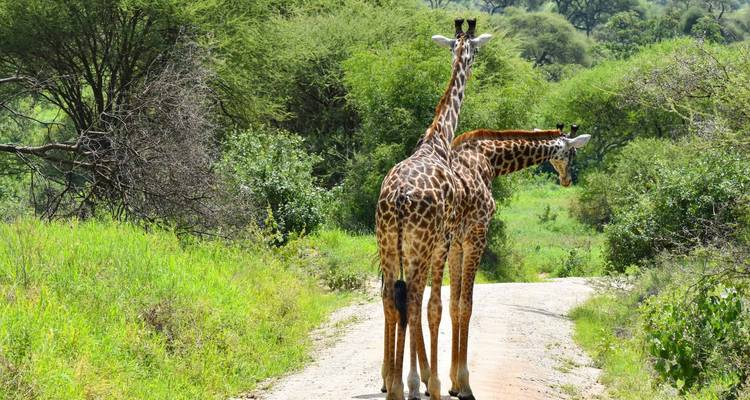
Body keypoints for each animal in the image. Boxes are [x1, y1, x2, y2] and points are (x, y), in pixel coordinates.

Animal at [376, 18, 492, 400]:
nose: (472, 62)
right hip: (421, 243)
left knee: (391, 298)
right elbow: (436, 306)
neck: (438, 139)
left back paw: (396, 385)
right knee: (412, 300)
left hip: (388, 243)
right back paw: (414, 385)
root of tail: (397, 198)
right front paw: (435, 382)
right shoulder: (445, 240)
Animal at [443, 124, 591, 400]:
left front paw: (454, 384)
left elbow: (454, 305)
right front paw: (465, 386)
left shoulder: (456, 245)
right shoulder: (476, 237)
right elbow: (466, 305)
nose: (568, 180)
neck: (488, 160)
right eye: (573, 154)